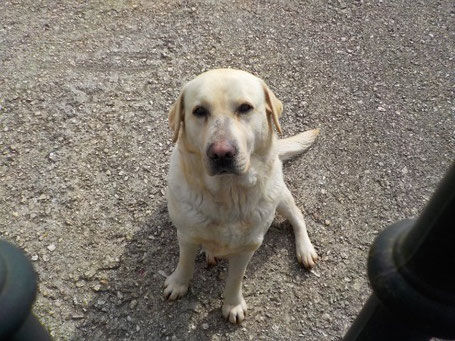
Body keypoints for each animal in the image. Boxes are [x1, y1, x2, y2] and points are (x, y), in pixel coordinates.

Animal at [166, 68, 318, 322]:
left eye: (245, 108)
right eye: (199, 111)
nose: (221, 153)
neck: (227, 193)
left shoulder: (248, 247)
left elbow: (235, 279)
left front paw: (233, 305)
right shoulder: (186, 234)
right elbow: (185, 263)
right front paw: (178, 283)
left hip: (280, 196)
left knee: (297, 216)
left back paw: (305, 249)